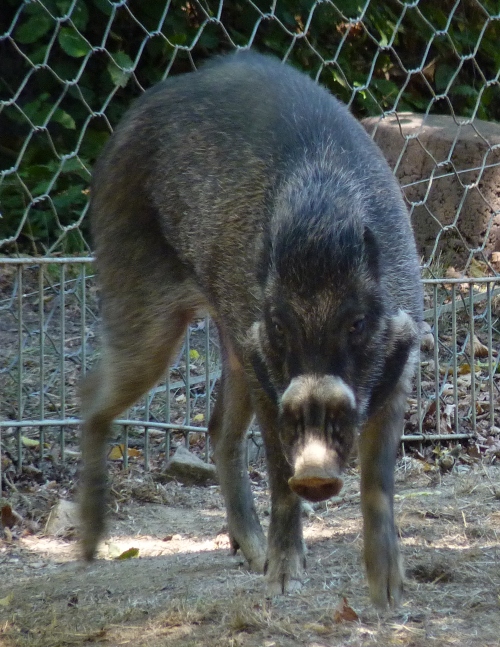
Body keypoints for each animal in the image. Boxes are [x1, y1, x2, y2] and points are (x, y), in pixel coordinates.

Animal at [79, 50, 423, 609]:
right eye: (280, 322)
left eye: (356, 321)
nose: (316, 471)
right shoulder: (268, 369)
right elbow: (280, 476)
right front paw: (283, 585)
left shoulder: (401, 363)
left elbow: (379, 481)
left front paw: (390, 595)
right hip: (141, 300)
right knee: (92, 392)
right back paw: (88, 551)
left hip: (231, 338)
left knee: (218, 426)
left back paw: (252, 555)